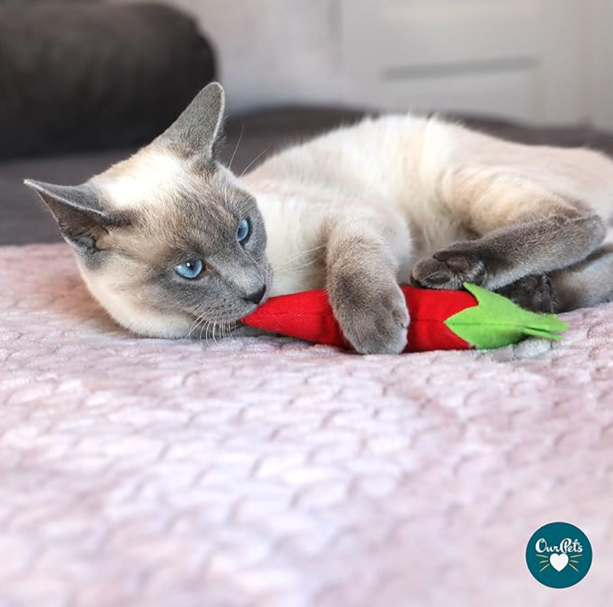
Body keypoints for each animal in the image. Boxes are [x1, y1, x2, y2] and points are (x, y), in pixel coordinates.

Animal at [25, 82, 613, 354]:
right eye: (190, 269)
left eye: (243, 231)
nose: (256, 292)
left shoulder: (356, 219)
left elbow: (349, 266)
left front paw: (375, 330)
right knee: (595, 264)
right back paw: (531, 296)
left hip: (459, 177)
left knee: (581, 223)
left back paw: (455, 272)